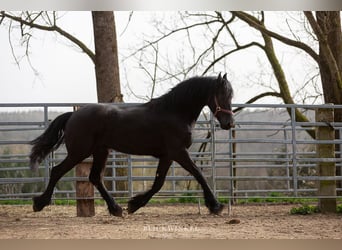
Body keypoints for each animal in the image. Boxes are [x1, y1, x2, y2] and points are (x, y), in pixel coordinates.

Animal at [29, 73, 234, 217]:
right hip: (80, 152)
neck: (174, 112)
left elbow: (158, 182)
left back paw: (116, 209)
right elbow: (198, 174)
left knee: (94, 177)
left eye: (231, 96)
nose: (229, 123)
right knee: (57, 171)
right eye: (222, 95)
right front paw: (216, 206)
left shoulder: (167, 156)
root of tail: (73, 115)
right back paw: (39, 203)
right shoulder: (178, 152)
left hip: (100, 151)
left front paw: (134, 204)